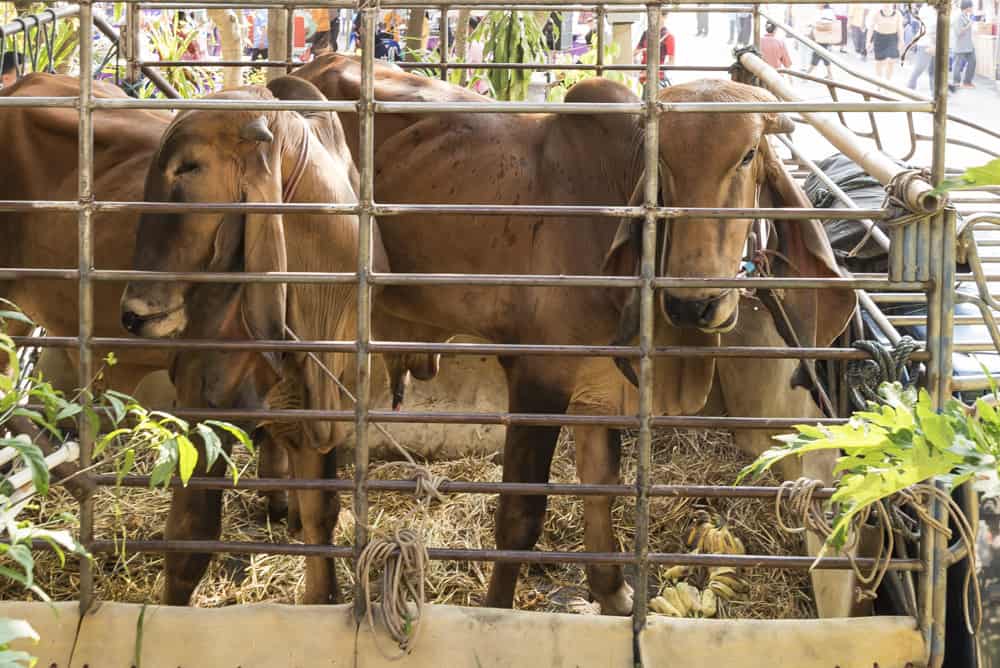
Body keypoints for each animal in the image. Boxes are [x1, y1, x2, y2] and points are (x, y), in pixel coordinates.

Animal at [121, 65, 856, 612]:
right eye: (661, 166)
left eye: (749, 155)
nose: (693, 301)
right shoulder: (536, 376)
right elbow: (521, 517)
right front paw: (500, 609)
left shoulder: (600, 386)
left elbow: (601, 487)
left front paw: (612, 592)